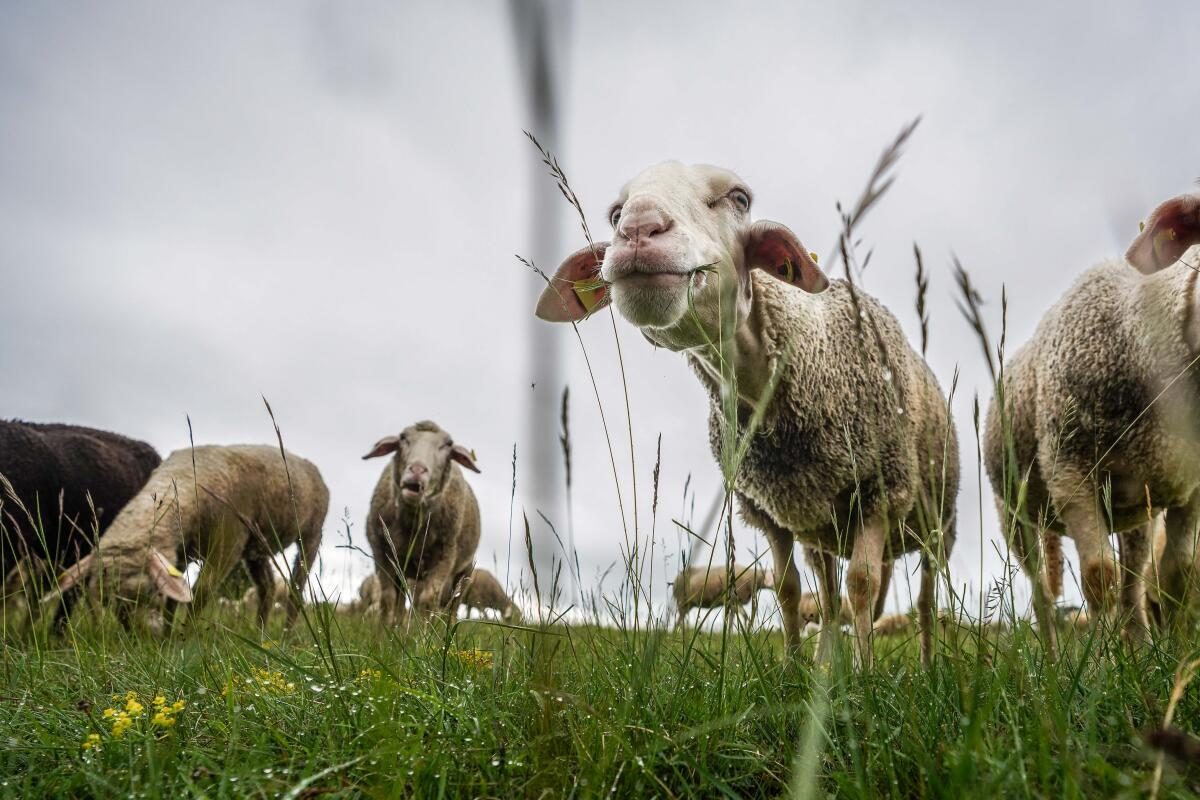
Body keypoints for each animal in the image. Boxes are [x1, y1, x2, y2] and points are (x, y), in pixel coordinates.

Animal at [52, 444, 327, 630]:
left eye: (150, 592)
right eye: (109, 604)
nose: (140, 639)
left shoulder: (228, 540)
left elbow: (200, 592)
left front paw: (184, 637)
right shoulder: (180, 552)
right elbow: (174, 601)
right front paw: (168, 637)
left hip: (312, 533)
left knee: (295, 590)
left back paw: (286, 635)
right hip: (257, 545)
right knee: (267, 588)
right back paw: (260, 634)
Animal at [363, 420, 482, 625]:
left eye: (448, 445)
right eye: (403, 438)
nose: (417, 470)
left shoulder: (445, 555)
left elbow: (428, 600)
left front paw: (424, 632)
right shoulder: (382, 552)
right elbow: (387, 597)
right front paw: (383, 631)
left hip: (464, 571)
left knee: (453, 607)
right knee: (400, 601)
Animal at [535, 162, 958, 667]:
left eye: (739, 198)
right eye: (616, 213)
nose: (638, 229)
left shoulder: (880, 489)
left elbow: (863, 585)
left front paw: (866, 674)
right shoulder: (769, 510)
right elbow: (788, 589)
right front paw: (794, 669)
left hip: (935, 522)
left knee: (924, 600)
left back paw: (928, 665)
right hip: (820, 529)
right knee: (828, 598)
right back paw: (825, 666)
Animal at [983, 190, 1200, 651]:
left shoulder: (1192, 487)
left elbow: (1178, 576)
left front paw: (1178, 659)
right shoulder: (1071, 472)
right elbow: (1099, 578)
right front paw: (1100, 659)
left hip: (1138, 508)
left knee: (1134, 581)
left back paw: (1140, 649)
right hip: (1015, 512)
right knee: (1042, 592)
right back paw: (1053, 656)